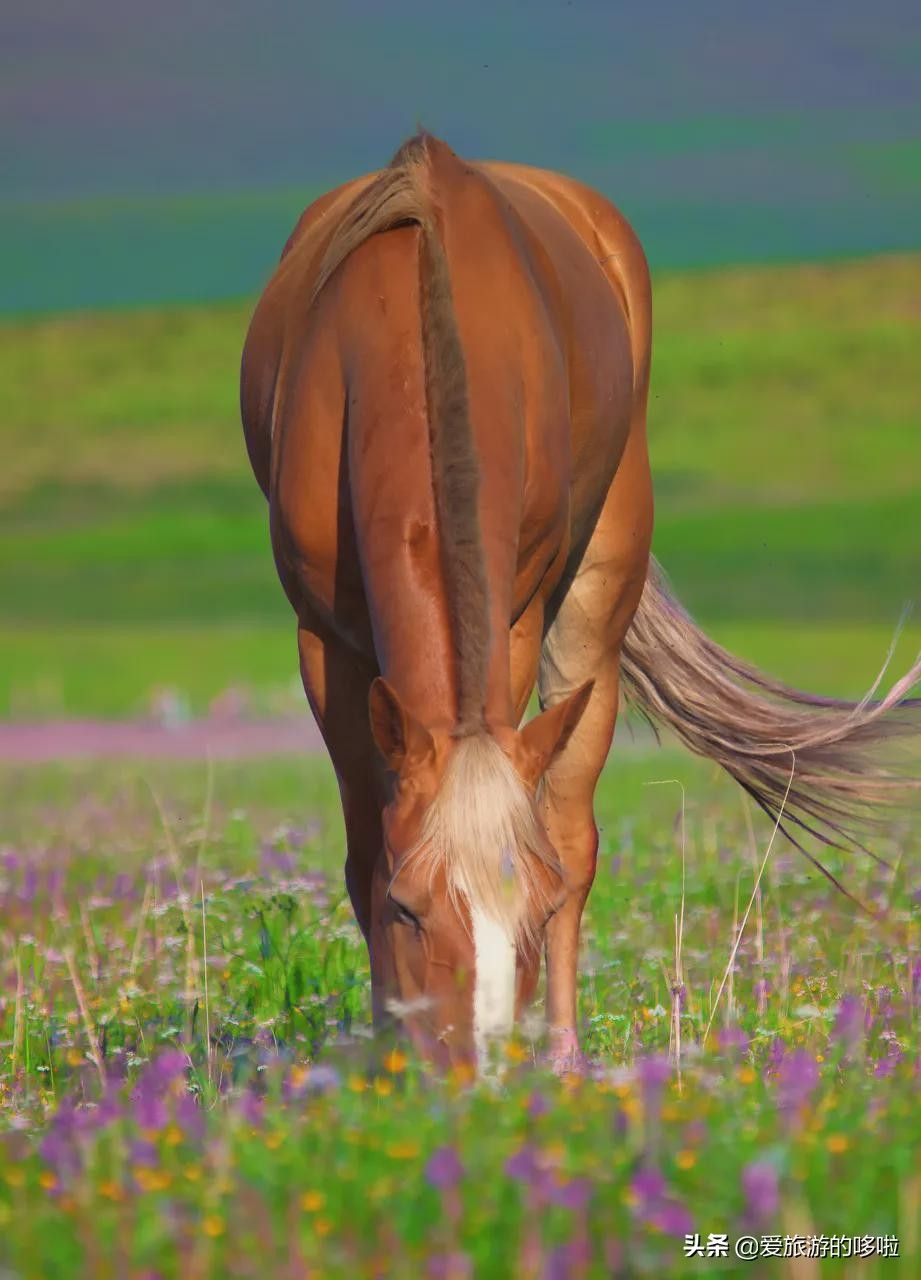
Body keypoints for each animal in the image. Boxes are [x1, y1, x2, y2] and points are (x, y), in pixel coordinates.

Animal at [239, 132, 921, 1070]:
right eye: (411, 909)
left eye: (529, 908)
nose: (479, 1077)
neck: (403, 334)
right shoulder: (323, 645)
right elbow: (363, 855)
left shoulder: (519, 619)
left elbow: (548, 839)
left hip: (594, 597)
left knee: (571, 825)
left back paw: (563, 1056)